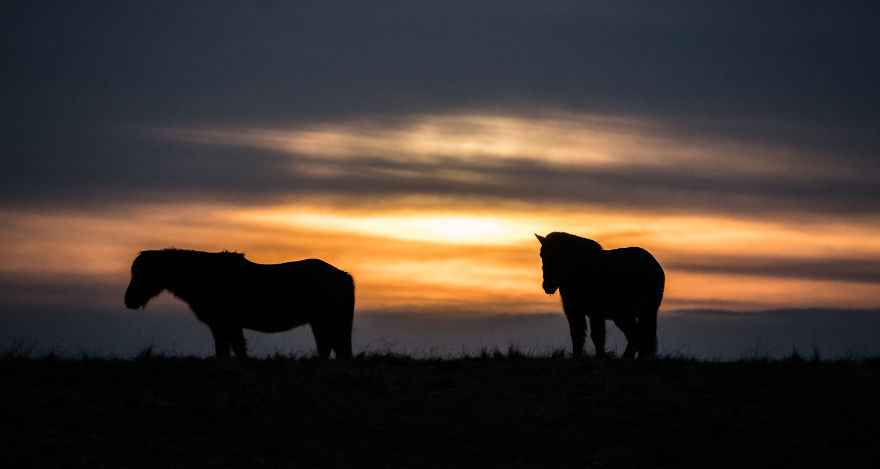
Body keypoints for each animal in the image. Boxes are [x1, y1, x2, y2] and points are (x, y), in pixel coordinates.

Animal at [124, 249, 355, 359]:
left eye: (144, 273)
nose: (128, 301)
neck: (205, 276)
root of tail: (343, 276)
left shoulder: (225, 324)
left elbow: (231, 350)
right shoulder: (224, 326)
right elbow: (229, 350)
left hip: (325, 322)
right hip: (321, 323)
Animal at [536, 232, 664, 359]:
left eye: (559, 255)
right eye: (542, 255)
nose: (547, 286)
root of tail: (655, 265)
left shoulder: (596, 313)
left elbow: (597, 337)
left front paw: (600, 357)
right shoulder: (574, 311)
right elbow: (577, 335)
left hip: (639, 312)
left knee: (640, 335)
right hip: (630, 314)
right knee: (637, 335)